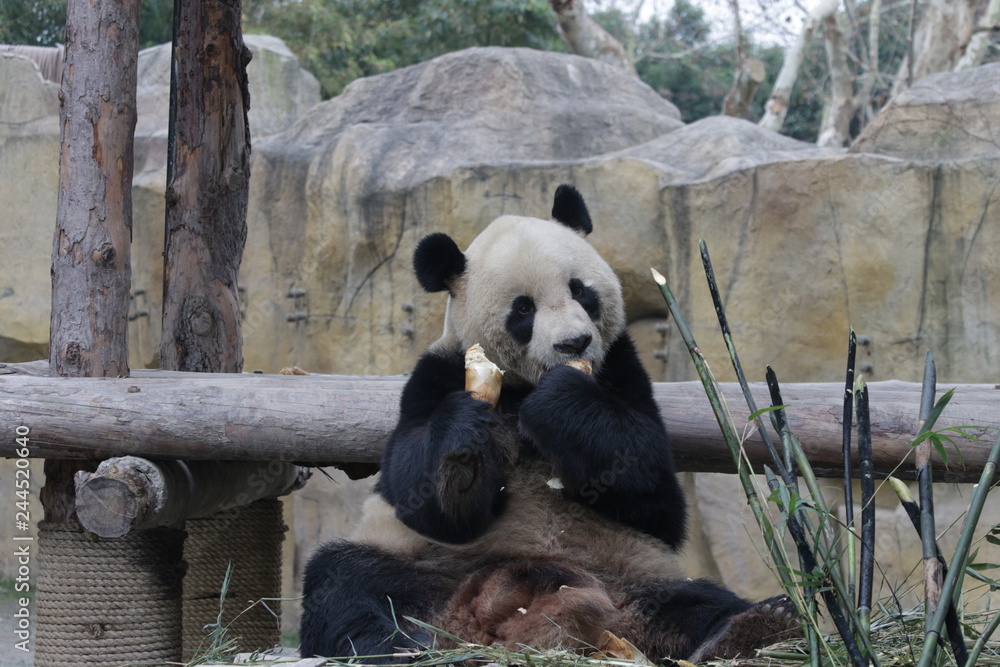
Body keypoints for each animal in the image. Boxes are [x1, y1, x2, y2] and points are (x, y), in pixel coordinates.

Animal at [300, 185, 799, 662]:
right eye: (523, 309)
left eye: (581, 290)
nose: (573, 343)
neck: (522, 388)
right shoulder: (435, 373)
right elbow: (417, 493)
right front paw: (465, 446)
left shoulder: (623, 368)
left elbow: (654, 495)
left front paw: (562, 401)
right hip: (421, 562)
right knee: (344, 583)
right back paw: (398, 646)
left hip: (633, 573)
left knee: (697, 602)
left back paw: (752, 628)